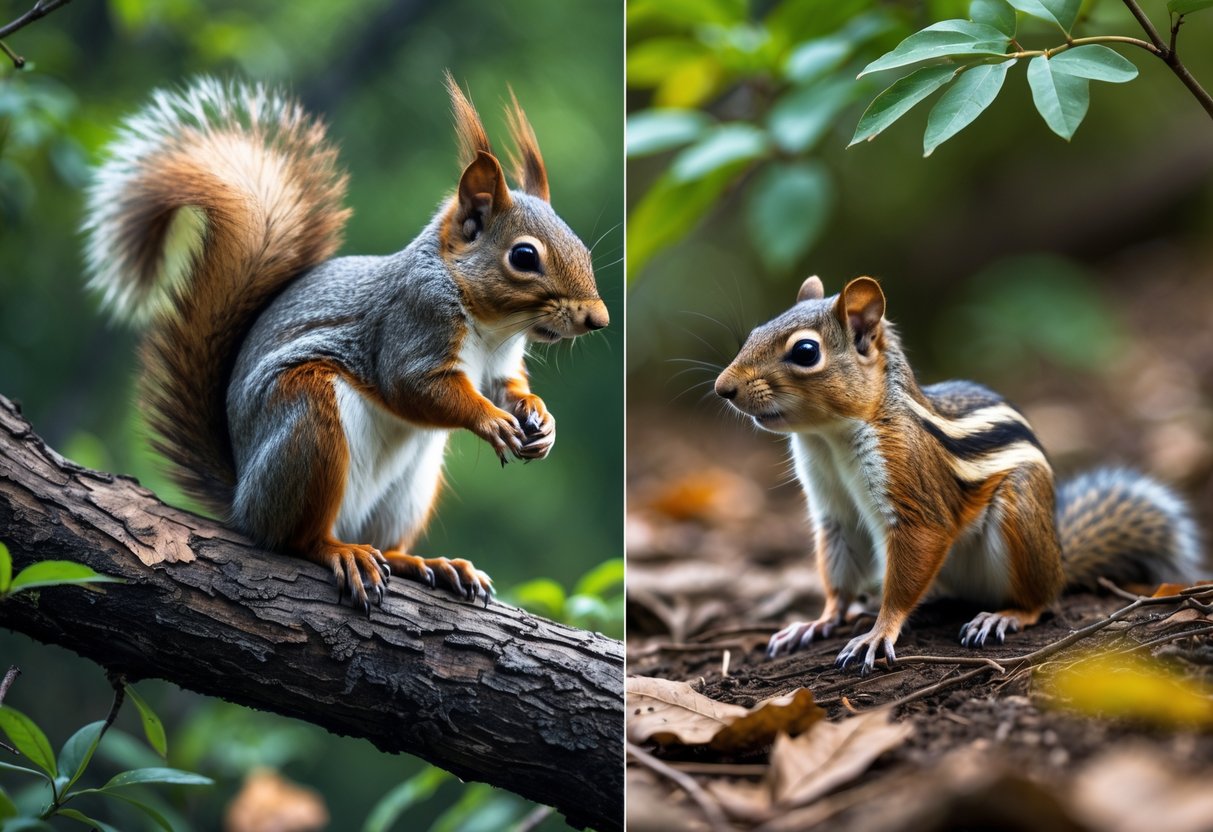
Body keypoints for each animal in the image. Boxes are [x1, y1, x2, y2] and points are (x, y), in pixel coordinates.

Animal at [82, 75, 608, 612]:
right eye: (523, 256)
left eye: (581, 248)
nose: (599, 319)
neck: (490, 324)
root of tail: (242, 502)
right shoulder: (410, 324)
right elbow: (413, 387)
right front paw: (492, 421)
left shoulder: (502, 362)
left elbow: (509, 387)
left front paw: (540, 418)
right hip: (309, 423)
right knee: (296, 539)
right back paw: (340, 552)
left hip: (408, 489)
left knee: (384, 543)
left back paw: (428, 564)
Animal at [715, 275, 1201, 674]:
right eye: (754, 333)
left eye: (805, 352)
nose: (723, 388)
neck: (828, 437)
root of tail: (1061, 562)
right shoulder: (835, 515)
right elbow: (839, 576)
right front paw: (819, 621)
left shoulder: (912, 490)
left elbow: (913, 559)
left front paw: (878, 631)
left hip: (1021, 518)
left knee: (1042, 602)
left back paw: (1003, 615)